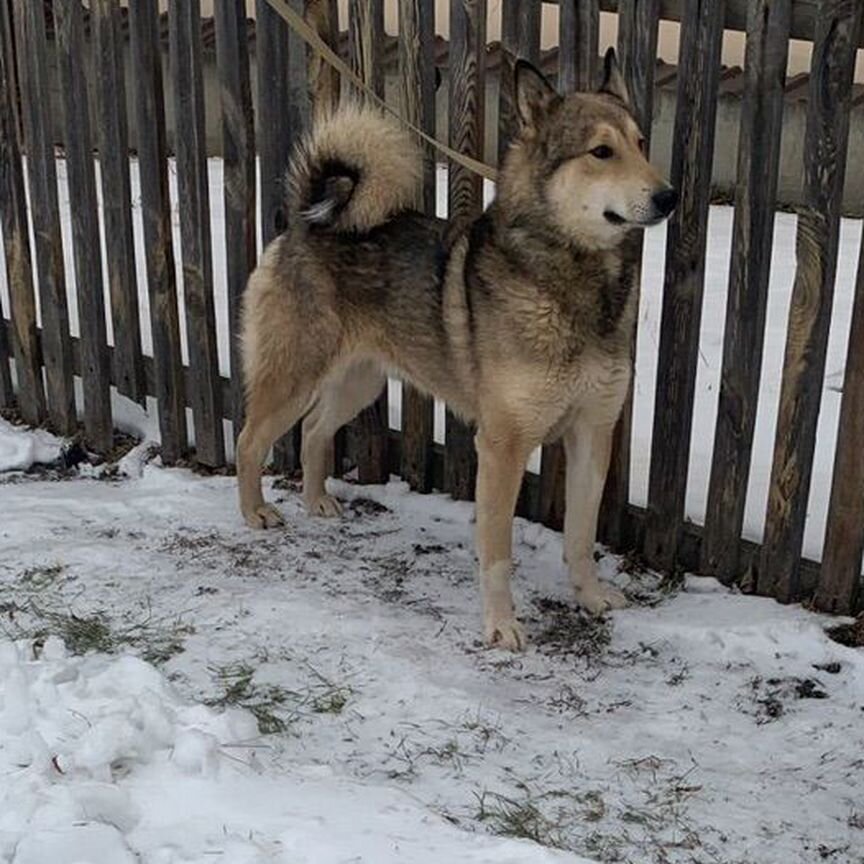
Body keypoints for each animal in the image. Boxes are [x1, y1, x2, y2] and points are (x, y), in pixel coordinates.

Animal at [235, 50, 676, 648]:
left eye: (641, 143)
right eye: (601, 152)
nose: (668, 196)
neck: (572, 280)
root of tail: (307, 220)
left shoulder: (593, 432)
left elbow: (581, 537)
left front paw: (588, 596)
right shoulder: (504, 446)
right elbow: (498, 553)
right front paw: (502, 625)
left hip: (359, 381)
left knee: (312, 430)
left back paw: (315, 500)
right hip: (292, 377)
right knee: (250, 440)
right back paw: (254, 511)